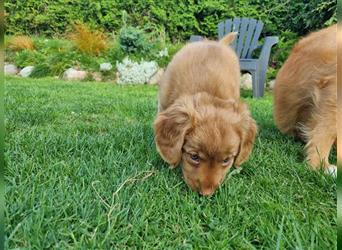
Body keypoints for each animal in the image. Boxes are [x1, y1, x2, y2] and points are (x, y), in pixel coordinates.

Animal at [154, 33, 256, 195]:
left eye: (226, 160)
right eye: (194, 156)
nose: (206, 194)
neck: (208, 91)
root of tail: (218, 43)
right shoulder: (163, 103)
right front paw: (171, 162)